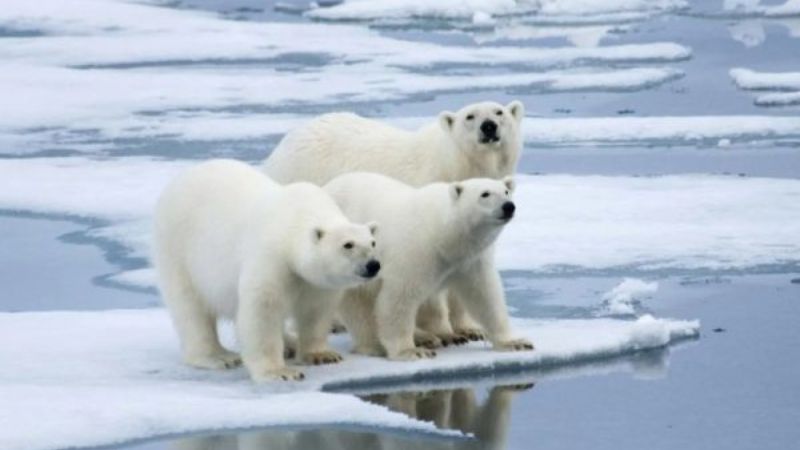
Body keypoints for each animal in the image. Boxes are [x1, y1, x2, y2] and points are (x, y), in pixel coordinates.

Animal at [157, 160, 384, 382]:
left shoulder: (316, 283)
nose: (373, 265)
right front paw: (279, 372)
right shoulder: (272, 259)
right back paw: (219, 357)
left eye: (373, 242)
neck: (295, 222)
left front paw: (322, 355)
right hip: (179, 250)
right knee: (191, 308)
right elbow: (263, 310)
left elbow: (316, 311)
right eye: (348, 245)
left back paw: (290, 344)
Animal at [262, 100, 524, 342]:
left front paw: (470, 329)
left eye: (499, 112)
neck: (453, 164)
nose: (488, 126)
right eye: (470, 116)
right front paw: (444, 332)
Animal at [322, 173, 536, 362]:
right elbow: (399, 299)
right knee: (357, 302)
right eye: (485, 194)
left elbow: (484, 295)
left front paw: (514, 342)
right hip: (351, 261)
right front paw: (410, 351)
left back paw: (431, 337)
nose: (508, 206)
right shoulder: (416, 252)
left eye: (506, 191)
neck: (443, 233)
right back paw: (376, 345)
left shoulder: (470, 259)